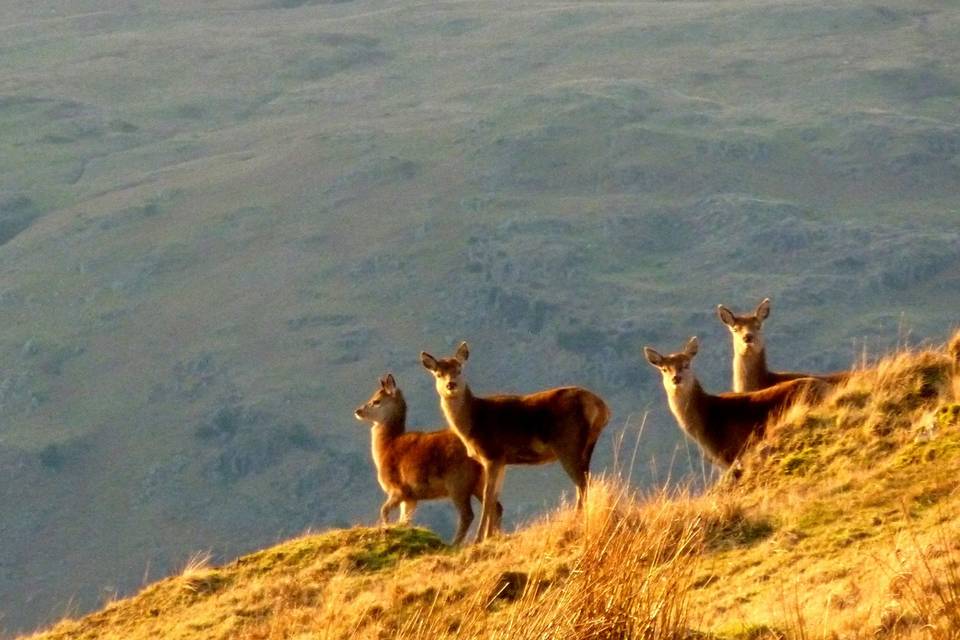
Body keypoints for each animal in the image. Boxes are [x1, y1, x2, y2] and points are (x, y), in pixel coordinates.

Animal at [354, 373, 501, 545]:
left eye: (376, 401)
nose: (358, 411)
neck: (386, 449)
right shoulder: (411, 497)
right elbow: (404, 521)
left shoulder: (398, 489)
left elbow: (384, 510)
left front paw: (385, 530)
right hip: (479, 482)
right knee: (496, 506)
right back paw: (495, 536)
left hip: (458, 482)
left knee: (468, 514)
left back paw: (454, 543)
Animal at [420, 342, 611, 542]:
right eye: (438, 373)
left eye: (459, 369)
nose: (451, 385)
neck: (472, 424)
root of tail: (601, 407)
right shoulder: (502, 460)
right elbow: (495, 496)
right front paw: (489, 536)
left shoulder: (492, 454)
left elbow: (488, 496)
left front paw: (479, 538)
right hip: (586, 445)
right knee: (586, 480)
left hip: (568, 443)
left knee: (582, 483)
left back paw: (575, 521)